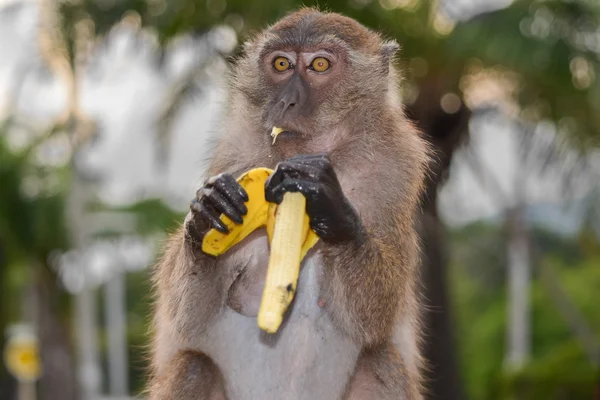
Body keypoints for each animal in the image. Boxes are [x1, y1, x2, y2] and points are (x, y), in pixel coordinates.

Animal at [148, 7, 428, 400]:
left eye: (320, 65)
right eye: (281, 64)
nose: (286, 101)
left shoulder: (398, 168)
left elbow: (375, 319)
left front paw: (335, 213)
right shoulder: (234, 154)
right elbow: (188, 318)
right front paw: (207, 215)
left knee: (379, 360)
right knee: (193, 366)